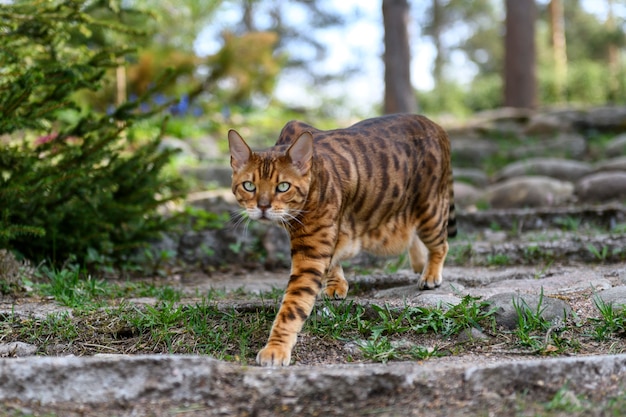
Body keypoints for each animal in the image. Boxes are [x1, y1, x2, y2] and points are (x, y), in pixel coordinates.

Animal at [228, 113, 454, 364]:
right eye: (249, 186)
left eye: (283, 186)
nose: (263, 206)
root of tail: (435, 125)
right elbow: (333, 259)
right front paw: (336, 284)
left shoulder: (310, 255)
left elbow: (292, 307)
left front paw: (275, 348)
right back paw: (418, 264)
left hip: (430, 209)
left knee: (441, 244)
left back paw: (430, 274)